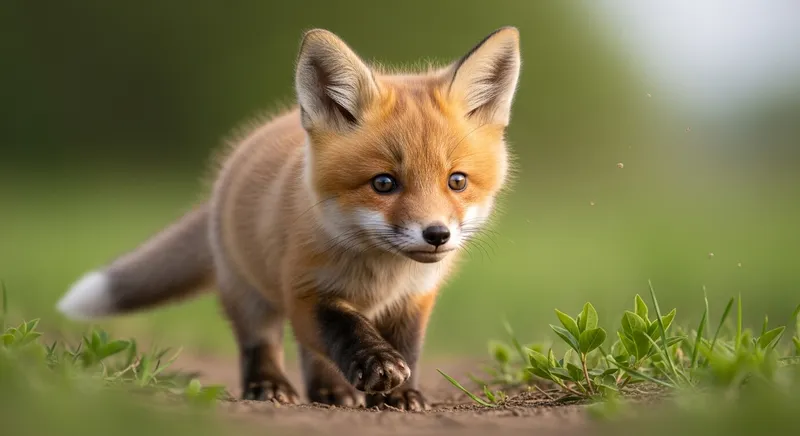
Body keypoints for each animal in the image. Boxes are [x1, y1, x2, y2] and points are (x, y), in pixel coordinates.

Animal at [56, 27, 521, 411]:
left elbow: (407, 348)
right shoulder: (305, 291)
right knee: (262, 344)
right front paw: (377, 366)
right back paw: (269, 386)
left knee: (309, 355)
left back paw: (330, 392)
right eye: (384, 183)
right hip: (246, 292)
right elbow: (343, 330)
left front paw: (400, 394)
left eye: (457, 181)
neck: (380, 275)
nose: (437, 235)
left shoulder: (415, 298)